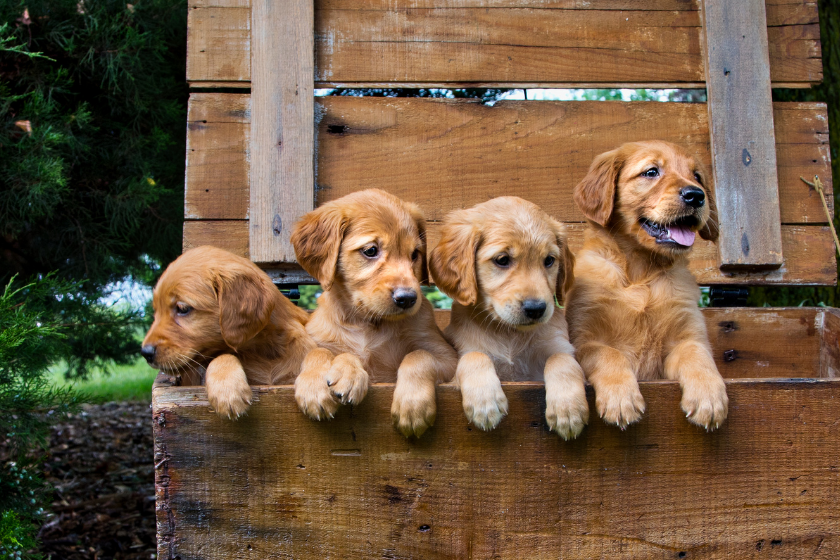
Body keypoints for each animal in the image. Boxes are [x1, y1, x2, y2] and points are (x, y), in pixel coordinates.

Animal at [141, 247, 316, 418]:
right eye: (156, 311)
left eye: (182, 308)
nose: (145, 352)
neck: (262, 352)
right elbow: (222, 355)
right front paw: (227, 391)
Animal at [290, 188, 460, 438]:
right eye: (371, 250)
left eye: (414, 254)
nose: (408, 298)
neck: (365, 321)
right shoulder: (318, 338)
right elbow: (317, 351)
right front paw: (320, 383)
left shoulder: (447, 357)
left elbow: (419, 355)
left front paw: (412, 404)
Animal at [430, 199, 588, 440]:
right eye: (502, 260)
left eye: (549, 260)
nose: (536, 309)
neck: (509, 333)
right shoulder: (462, 356)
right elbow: (474, 355)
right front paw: (485, 402)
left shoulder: (559, 348)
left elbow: (561, 359)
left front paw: (568, 409)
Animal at [564, 140, 728, 428]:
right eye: (651, 172)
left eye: (697, 176)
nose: (696, 195)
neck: (641, 274)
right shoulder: (585, 339)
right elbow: (610, 354)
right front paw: (621, 399)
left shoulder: (686, 336)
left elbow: (698, 354)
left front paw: (709, 397)